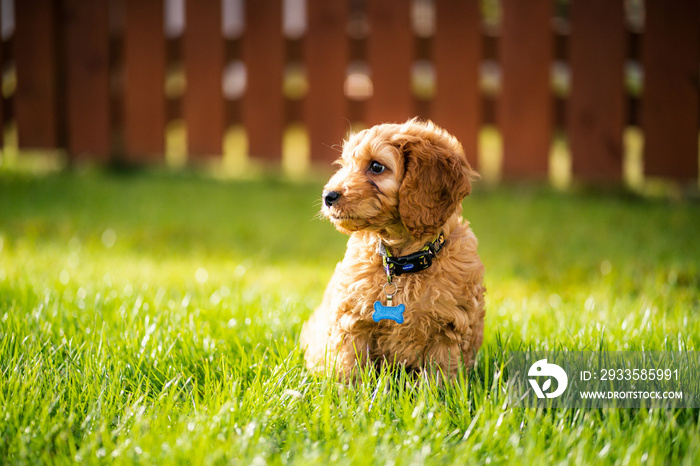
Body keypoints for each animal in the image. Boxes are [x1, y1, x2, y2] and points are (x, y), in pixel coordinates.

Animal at [300, 118, 486, 380]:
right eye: (345, 165)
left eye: (377, 167)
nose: (328, 196)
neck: (402, 262)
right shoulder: (352, 319)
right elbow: (350, 365)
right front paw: (346, 391)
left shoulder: (449, 327)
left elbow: (441, 371)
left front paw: (440, 391)